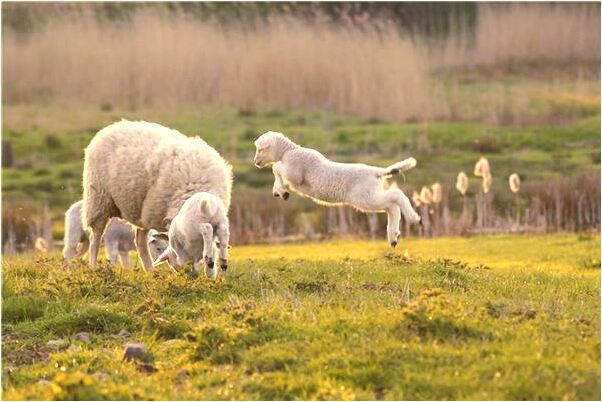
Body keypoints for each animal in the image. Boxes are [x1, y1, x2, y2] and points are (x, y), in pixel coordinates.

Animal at [79, 118, 230, 272]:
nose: (185, 271)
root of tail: (112, 126)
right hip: (98, 200)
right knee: (95, 238)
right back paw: (93, 266)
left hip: (140, 210)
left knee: (140, 242)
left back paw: (150, 271)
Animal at [252, 130, 418, 247]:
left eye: (260, 149)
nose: (255, 162)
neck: (287, 152)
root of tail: (376, 171)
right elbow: (277, 172)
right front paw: (279, 191)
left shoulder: (295, 173)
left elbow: (276, 167)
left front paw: (282, 191)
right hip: (370, 196)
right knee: (391, 207)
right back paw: (393, 237)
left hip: (366, 197)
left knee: (396, 196)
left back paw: (413, 218)